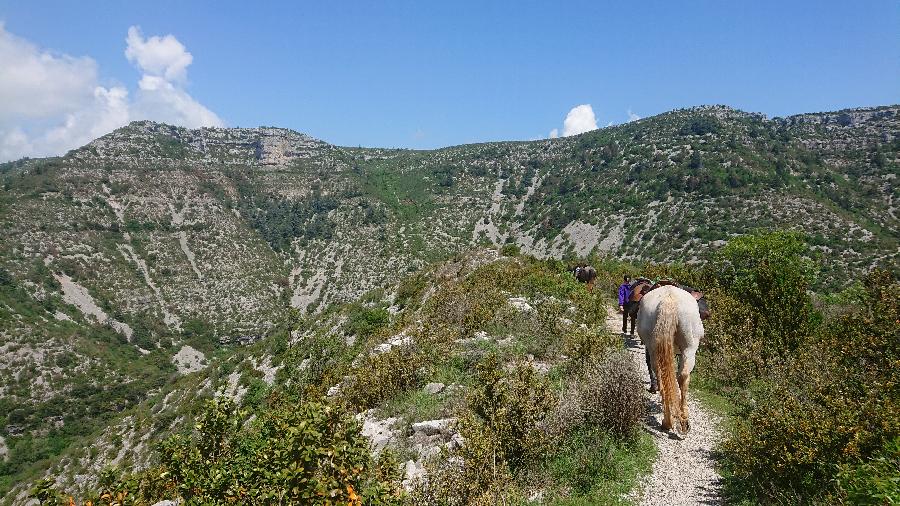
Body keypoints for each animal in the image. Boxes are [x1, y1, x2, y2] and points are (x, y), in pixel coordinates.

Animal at [636, 286, 708, 432]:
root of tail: (669, 298)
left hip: (659, 350)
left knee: (666, 376)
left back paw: (672, 421)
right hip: (689, 348)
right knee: (681, 377)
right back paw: (678, 419)